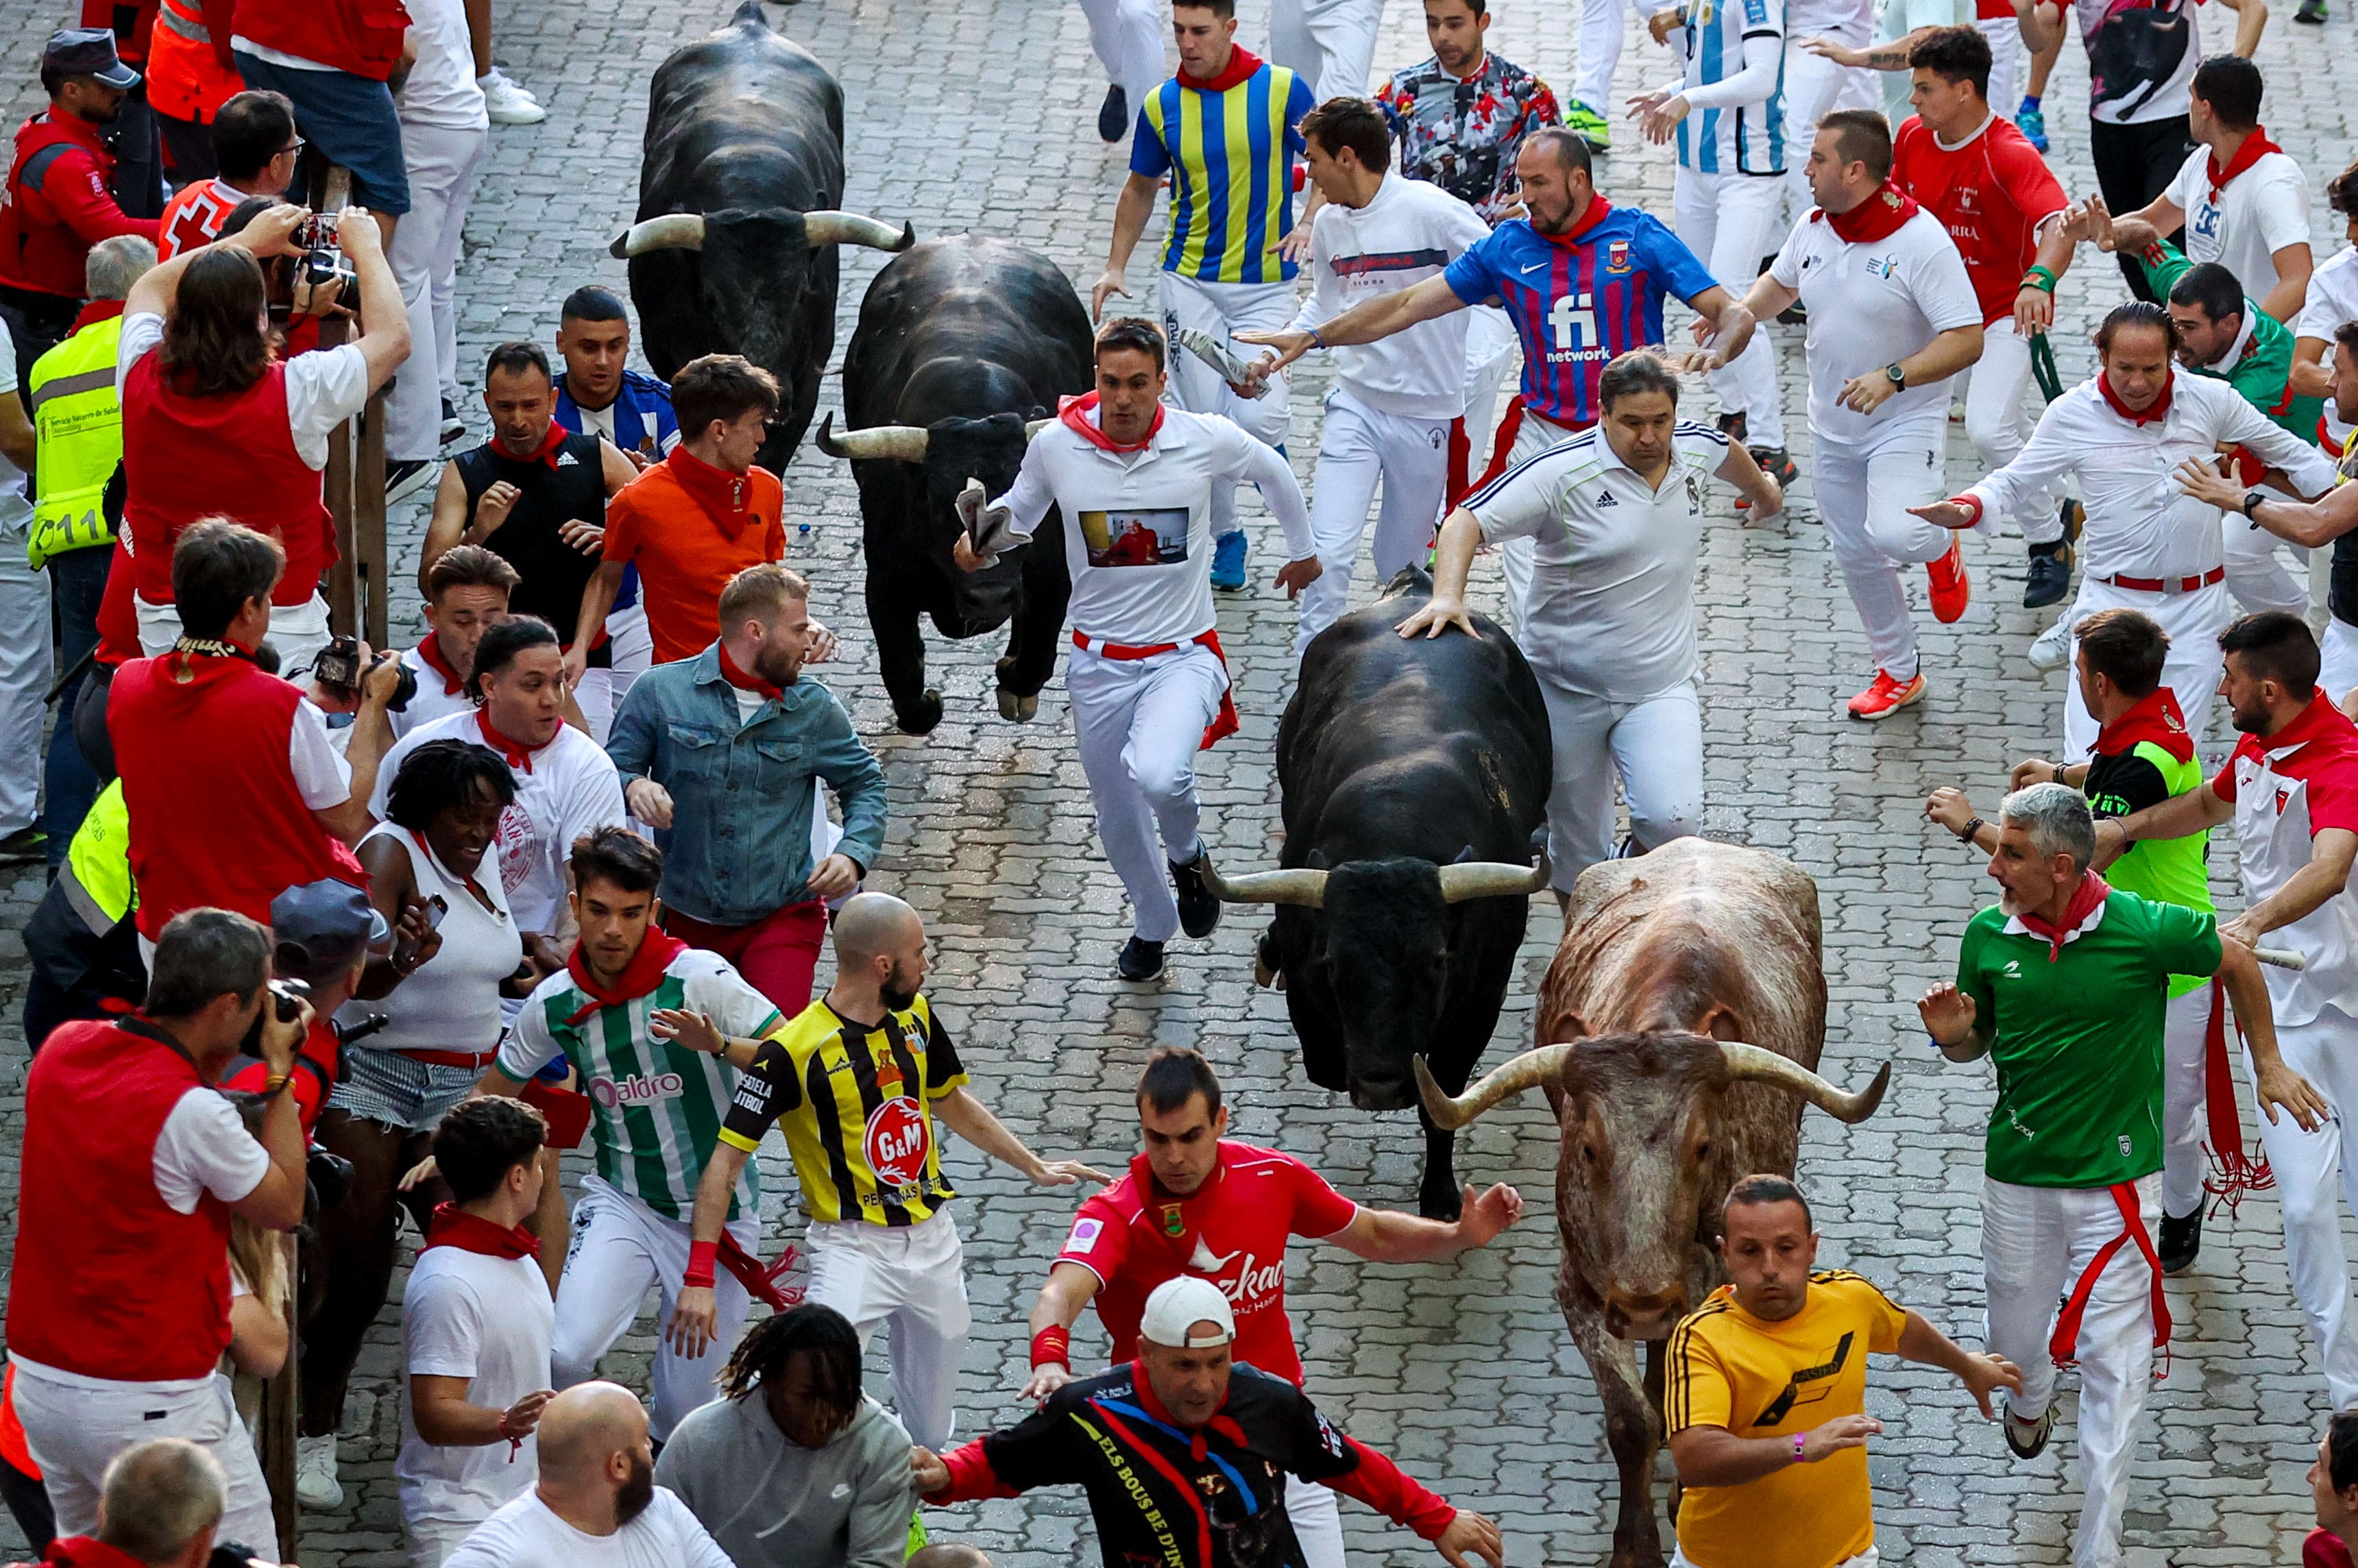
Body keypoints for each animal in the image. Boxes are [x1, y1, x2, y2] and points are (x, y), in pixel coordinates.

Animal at [816, 236, 1089, 735]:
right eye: (940, 505)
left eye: (1027, 503)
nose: (991, 595)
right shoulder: (885, 581)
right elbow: (901, 668)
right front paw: (925, 704)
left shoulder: (1052, 573)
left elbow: (1037, 654)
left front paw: (1013, 685)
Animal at [1207, 573, 1556, 1226]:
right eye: (1334, 962)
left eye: (1437, 960)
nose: (1380, 1086)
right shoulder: (1308, 976)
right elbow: (1321, 1055)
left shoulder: (1479, 1001)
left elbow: (1442, 1101)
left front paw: (1441, 1196)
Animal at [1405, 844, 1886, 1565]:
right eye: (1588, 1148)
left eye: (1705, 1145)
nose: (1643, 1305)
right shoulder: (1582, 1287)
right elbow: (1632, 1419)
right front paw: (1636, 1543)